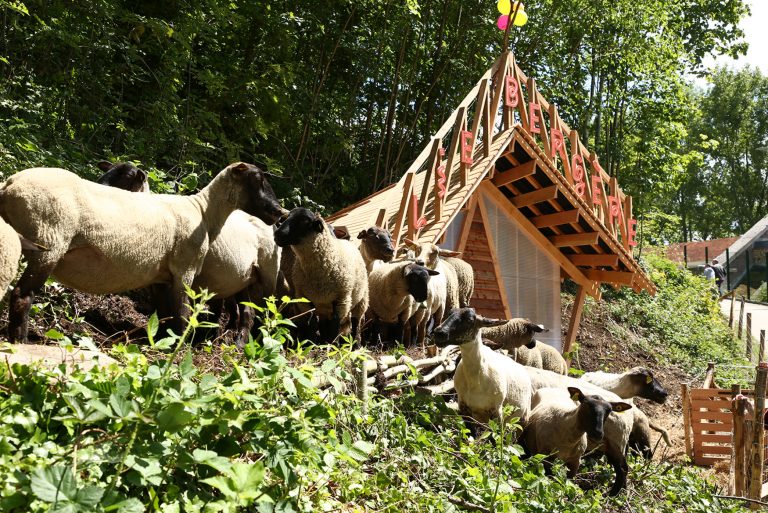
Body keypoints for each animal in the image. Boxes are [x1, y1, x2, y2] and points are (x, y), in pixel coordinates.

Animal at [0, 162, 284, 342]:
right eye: (257, 180)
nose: (279, 211)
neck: (204, 212)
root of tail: (9, 184)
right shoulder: (185, 269)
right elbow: (182, 314)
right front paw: (179, 345)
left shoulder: (161, 278)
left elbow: (166, 314)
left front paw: (162, 341)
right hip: (49, 243)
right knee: (22, 295)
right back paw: (20, 340)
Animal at [274, 206, 370, 342]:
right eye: (286, 218)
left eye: (304, 220)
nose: (277, 234)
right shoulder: (306, 300)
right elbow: (312, 324)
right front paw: (310, 342)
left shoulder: (341, 300)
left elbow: (334, 327)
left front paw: (332, 345)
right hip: (324, 307)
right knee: (324, 325)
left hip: (361, 300)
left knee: (355, 323)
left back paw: (355, 344)